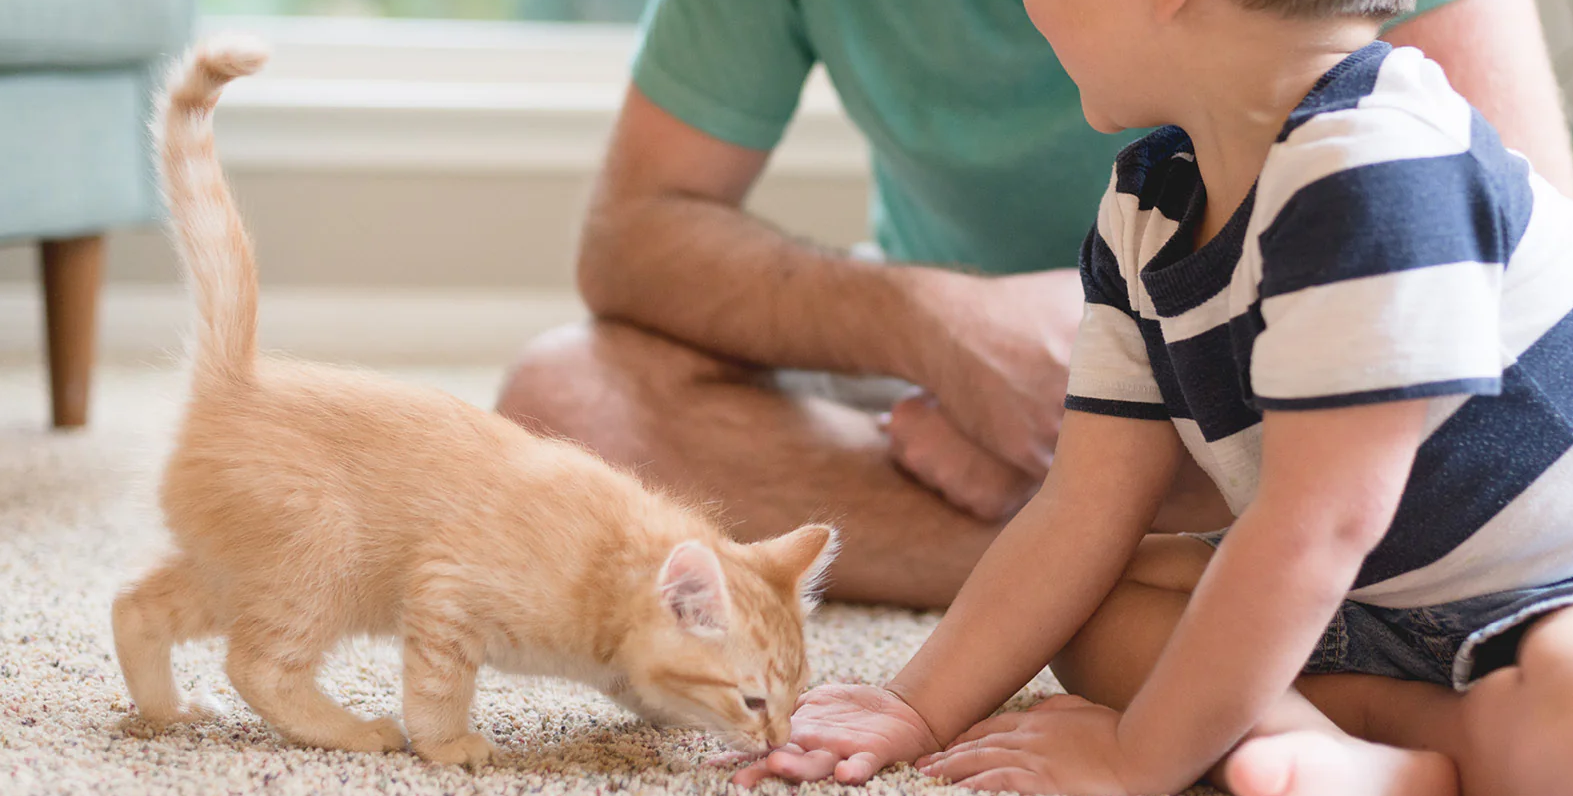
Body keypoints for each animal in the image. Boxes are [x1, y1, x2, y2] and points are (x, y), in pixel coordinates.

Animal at [112, 35, 843, 764]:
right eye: (753, 700)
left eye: (796, 693)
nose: (779, 736)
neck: (607, 567)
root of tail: (236, 380)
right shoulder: (443, 591)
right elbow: (437, 686)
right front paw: (449, 745)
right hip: (317, 566)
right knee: (257, 665)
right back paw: (351, 731)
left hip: (236, 573)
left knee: (134, 605)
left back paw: (166, 709)